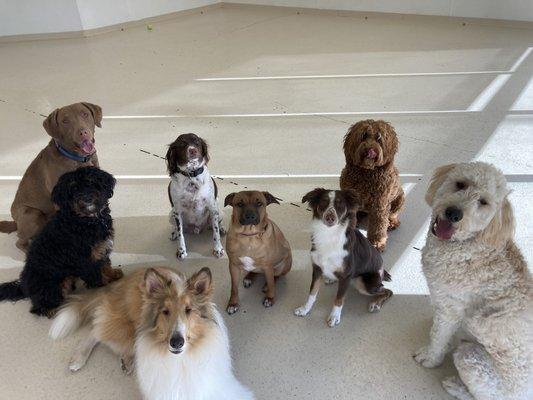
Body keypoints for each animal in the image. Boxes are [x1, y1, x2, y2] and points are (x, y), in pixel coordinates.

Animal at [0, 166, 122, 316]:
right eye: (73, 188)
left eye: (91, 182)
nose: (86, 198)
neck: (85, 220)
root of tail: (24, 286)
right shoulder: (85, 258)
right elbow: (96, 274)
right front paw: (104, 283)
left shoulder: (101, 248)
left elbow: (106, 265)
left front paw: (113, 274)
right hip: (52, 285)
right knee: (39, 308)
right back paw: (54, 311)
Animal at [296, 189, 390, 326]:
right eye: (323, 202)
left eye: (340, 205)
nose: (330, 217)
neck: (329, 235)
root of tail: (382, 270)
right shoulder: (317, 269)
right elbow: (312, 293)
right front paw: (305, 309)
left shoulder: (346, 276)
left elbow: (339, 299)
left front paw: (334, 316)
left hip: (364, 283)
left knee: (387, 290)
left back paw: (375, 303)